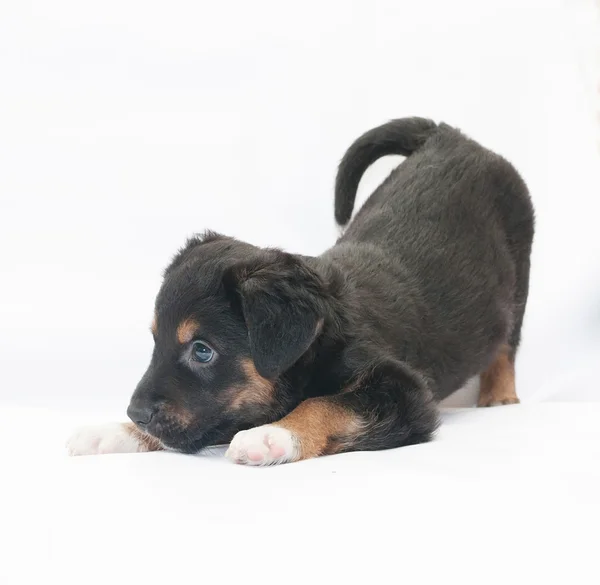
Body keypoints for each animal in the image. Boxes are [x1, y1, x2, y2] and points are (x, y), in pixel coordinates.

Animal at [67, 117, 536, 466]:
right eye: (156, 341)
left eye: (202, 351)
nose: (135, 413)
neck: (320, 340)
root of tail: (448, 134)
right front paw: (112, 432)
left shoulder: (403, 390)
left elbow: (326, 404)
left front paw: (272, 435)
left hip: (521, 273)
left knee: (506, 345)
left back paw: (498, 397)